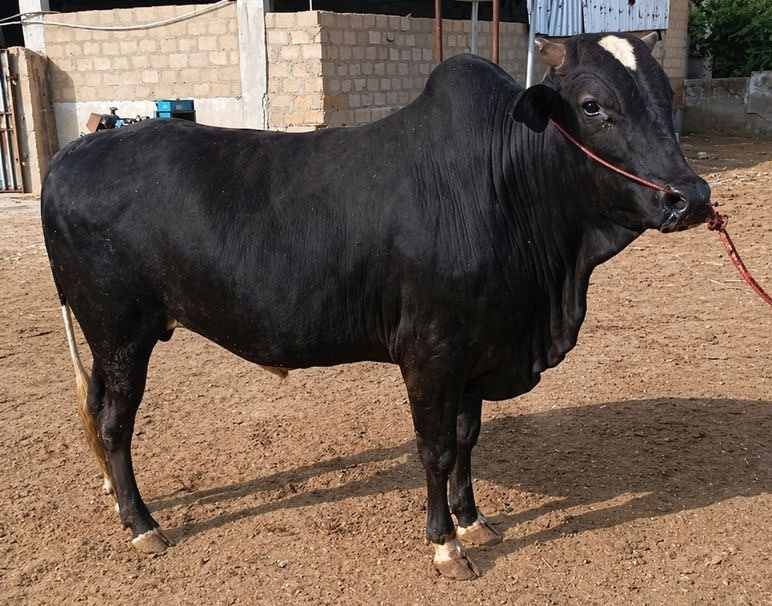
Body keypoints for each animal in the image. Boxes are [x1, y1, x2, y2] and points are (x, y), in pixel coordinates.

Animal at [42, 32, 710, 580]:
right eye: (593, 105)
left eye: (662, 92)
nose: (690, 197)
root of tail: (71, 154)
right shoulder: (430, 350)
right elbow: (436, 448)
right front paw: (445, 544)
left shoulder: (477, 349)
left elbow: (466, 438)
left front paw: (474, 520)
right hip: (120, 330)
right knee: (115, 421)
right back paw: (143, 525)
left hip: (108, 338)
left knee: (98, 411)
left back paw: (116, 497)